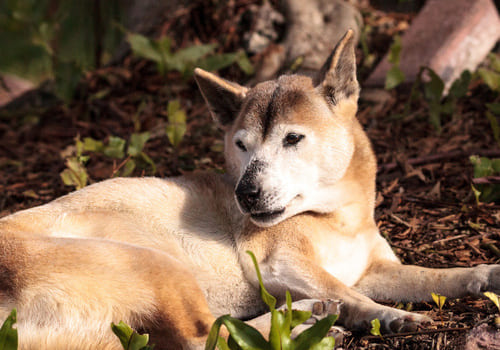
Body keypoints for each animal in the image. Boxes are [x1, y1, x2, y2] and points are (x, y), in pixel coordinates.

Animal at [0, 31, 500, 348]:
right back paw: (307, 319)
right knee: (202, 338)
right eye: (241, 145)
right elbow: (352, 295)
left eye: (293, 139)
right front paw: (394, 316)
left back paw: (308, 315)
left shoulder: (373, 270)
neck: (338, 219)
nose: (247, 194)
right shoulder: (283, 263)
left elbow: (437, 277)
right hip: (155, 265)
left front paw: (485, 274)